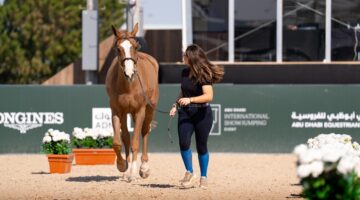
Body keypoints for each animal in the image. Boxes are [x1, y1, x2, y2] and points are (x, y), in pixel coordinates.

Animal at [105, 23, 159, 181]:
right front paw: (122, 165)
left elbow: (135, 142)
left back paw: (143, 168)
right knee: (126, 138)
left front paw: (133, 172)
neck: (129, 86)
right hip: (126, 114)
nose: (129, 73)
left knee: (145, 132)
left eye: (135, 46)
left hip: (149, 110)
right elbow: (118, 142)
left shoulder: (140, 111)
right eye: (118, 49)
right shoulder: (117, 111)